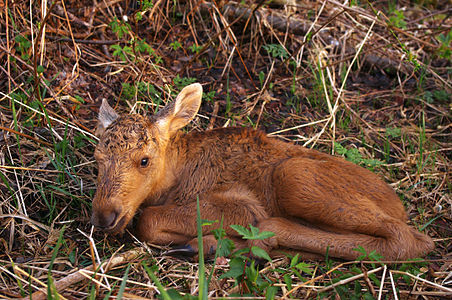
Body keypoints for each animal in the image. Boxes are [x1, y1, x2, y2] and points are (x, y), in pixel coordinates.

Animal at [91, 82, 434, 260]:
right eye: (97, 158)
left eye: (144, 160)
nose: (104, 216)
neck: (173, 180)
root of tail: (399, 206)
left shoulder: (239, 205)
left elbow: (147, 220)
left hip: (294, 176)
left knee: (412, 239)